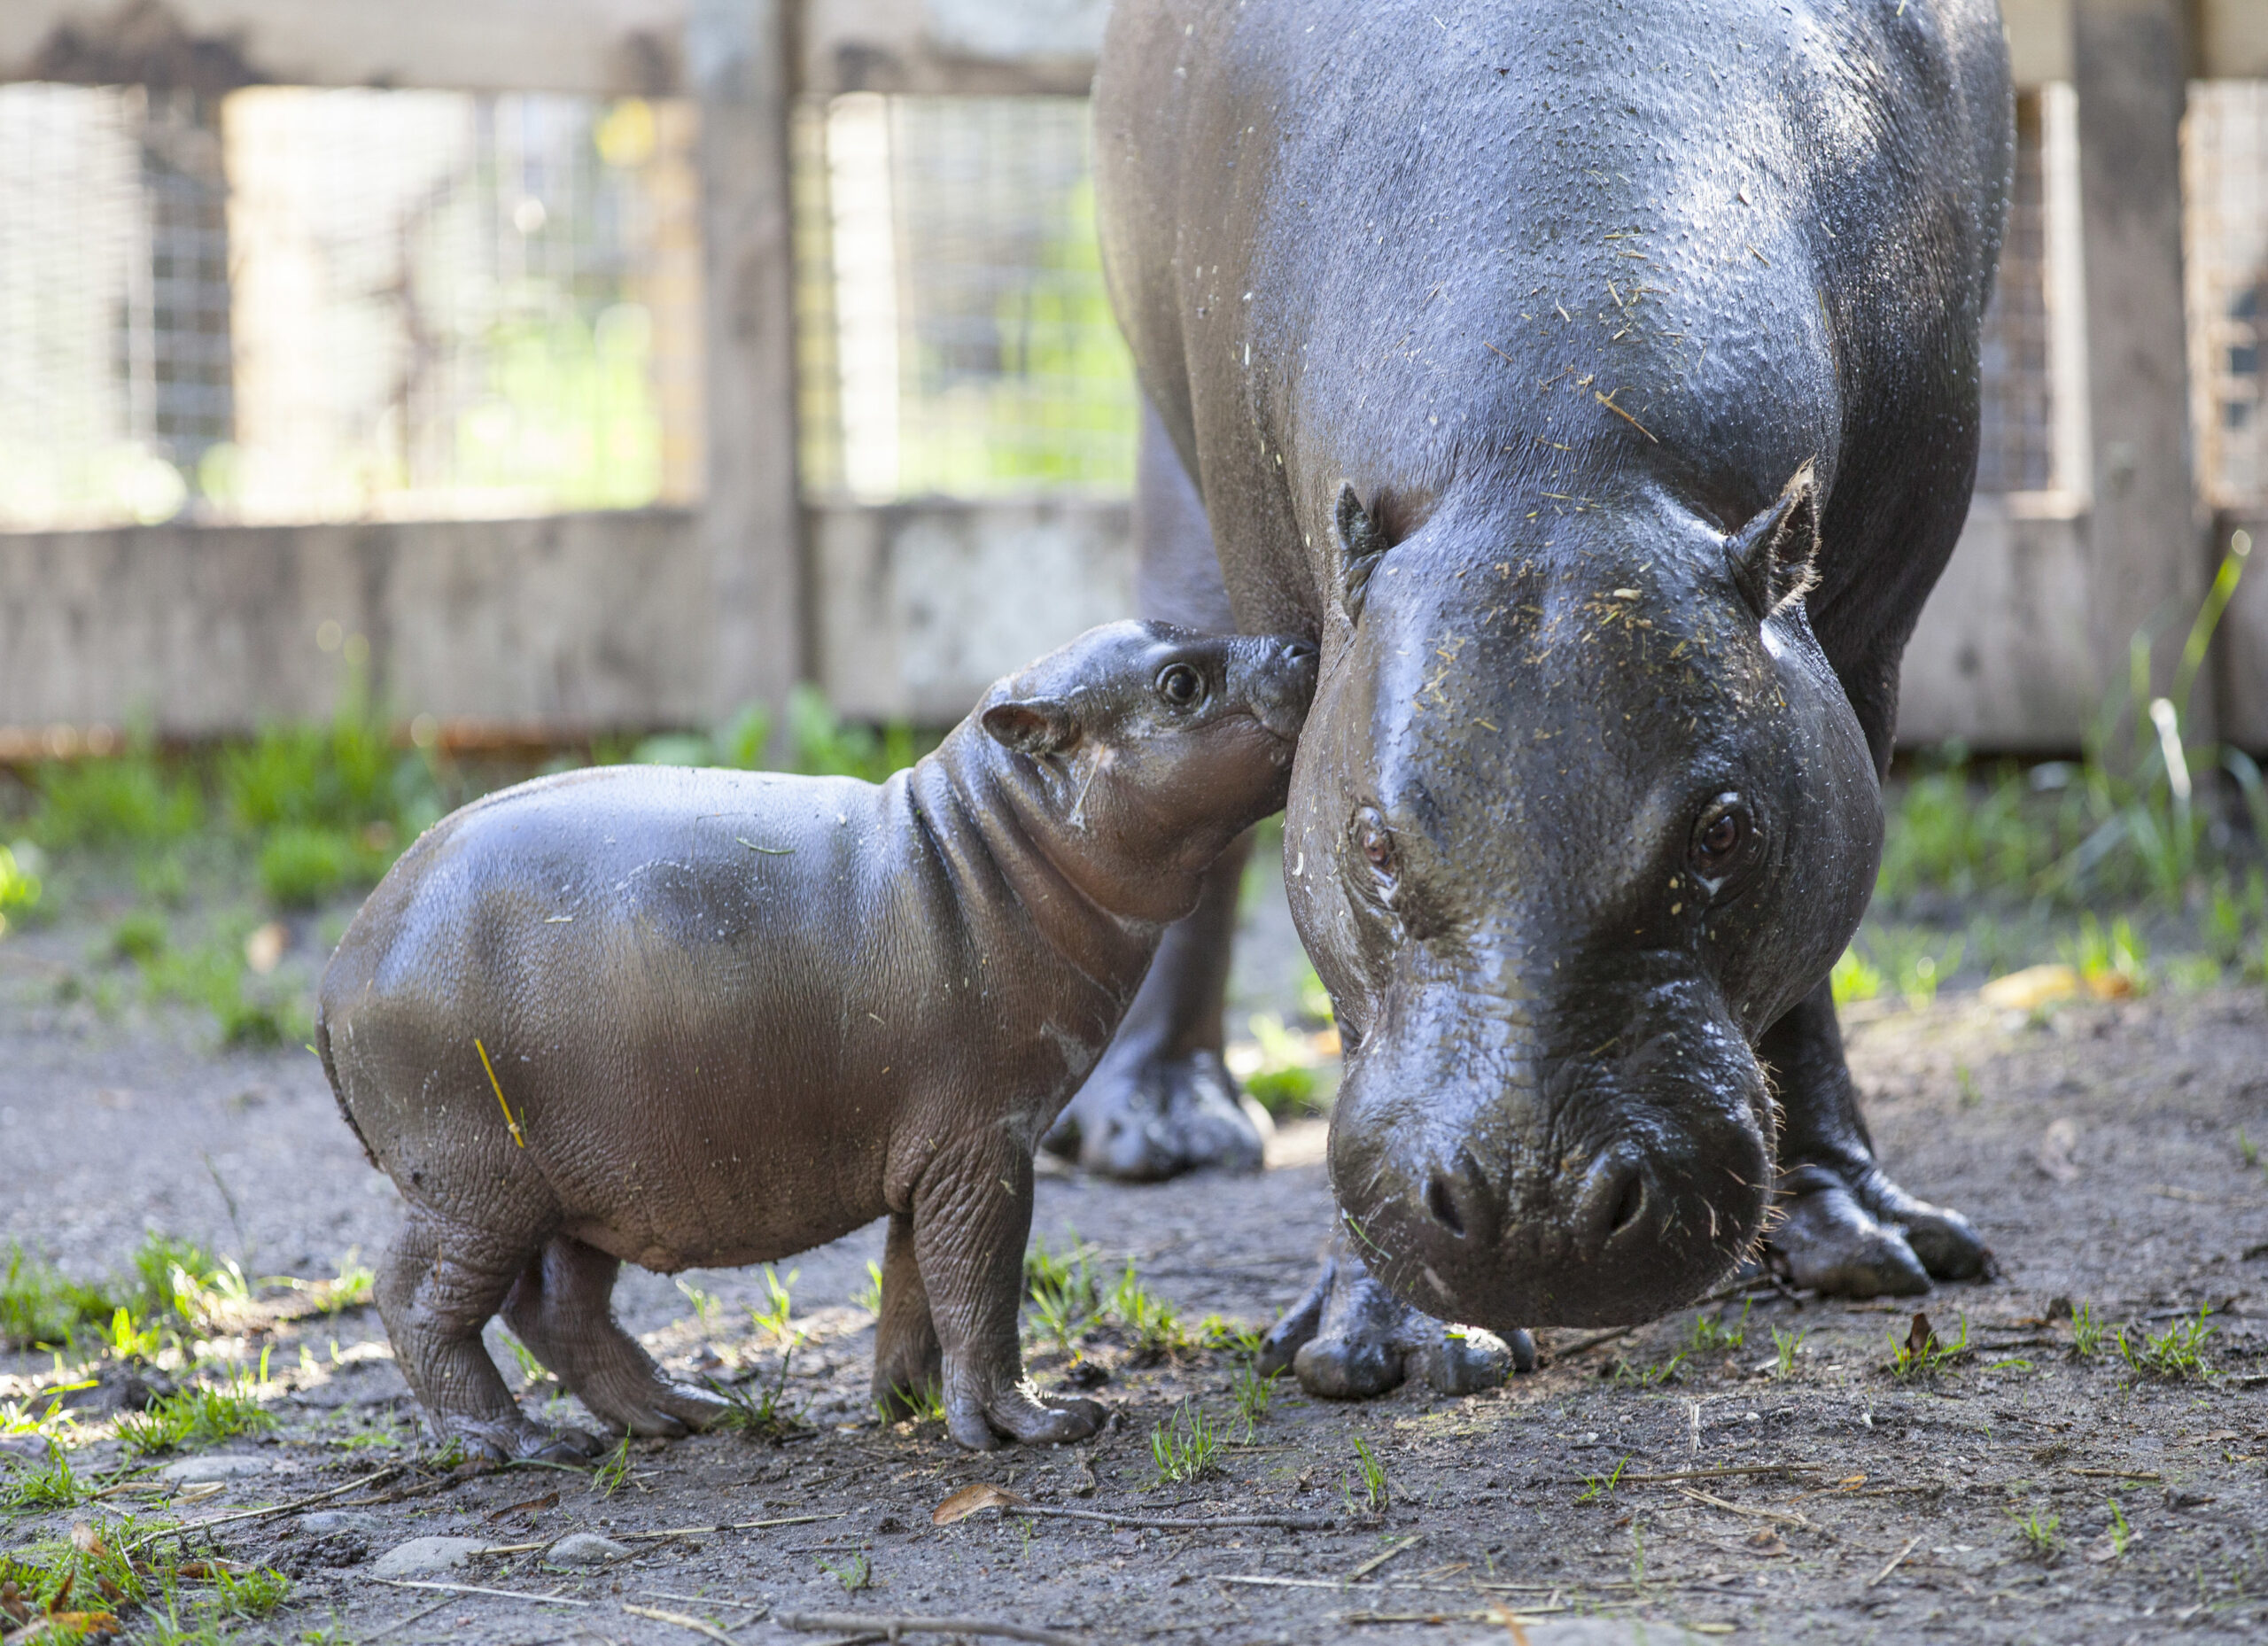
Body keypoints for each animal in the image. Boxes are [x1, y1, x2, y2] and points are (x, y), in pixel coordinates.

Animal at [317, 617, 1315, 1460]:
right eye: (1180, 683)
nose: (1305, 643)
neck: (994, 839)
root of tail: (339, 964)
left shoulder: (937, 1151)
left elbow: (915, 1281)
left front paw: (909, 1406)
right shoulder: (985, 1138)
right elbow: (979, 1282)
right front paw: (1038, 1422)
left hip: (586, 1178)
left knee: (560, 1307)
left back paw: (683, 1412)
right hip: (474, 1183)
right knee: (417, 1300)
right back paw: (520, 1443)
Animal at [1070, 0, 2014, 1396]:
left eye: (1723, 832)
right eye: (1370, 844)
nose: (1537, 1205)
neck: (1558, 441)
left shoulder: (1870, 623)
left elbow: (1810, 960)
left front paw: (1867, 1243)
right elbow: (1345, 992)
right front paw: (1389, 1344)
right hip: (1174, 466)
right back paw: (1156, 1130)